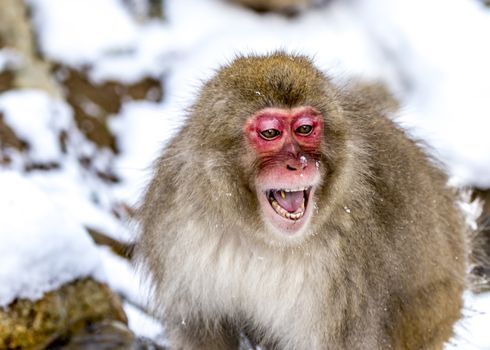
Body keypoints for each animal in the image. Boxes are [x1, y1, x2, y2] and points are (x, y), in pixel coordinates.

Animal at [134, 52, 468, 350]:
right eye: (271, 132)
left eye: (304, 129)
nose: (299, 163)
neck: (264, 239)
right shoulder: (175, 226)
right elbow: (201, 329)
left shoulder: (346, 271)